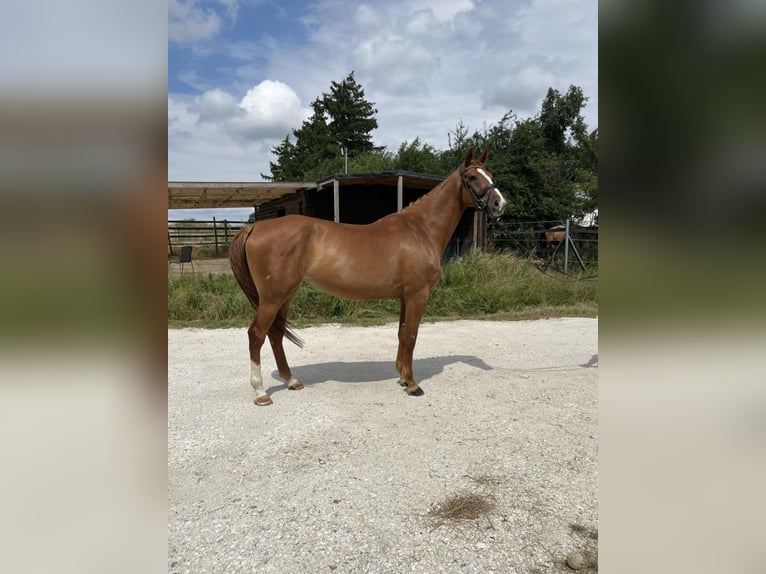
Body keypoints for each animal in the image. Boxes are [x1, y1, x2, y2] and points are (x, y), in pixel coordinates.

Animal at [228, 148, 507, 405]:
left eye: (490, 175)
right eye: (472, 176)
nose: (499, 204)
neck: (420, 230)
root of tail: (254, 227)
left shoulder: (405, 297)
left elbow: (402, 334)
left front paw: (402, 377)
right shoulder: (418, 295)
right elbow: (412, 336)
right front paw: (413, 384)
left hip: (285, 295)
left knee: (275, 335)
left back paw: (292, 381)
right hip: (272, 297)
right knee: (256, 335)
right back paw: (261, 392)